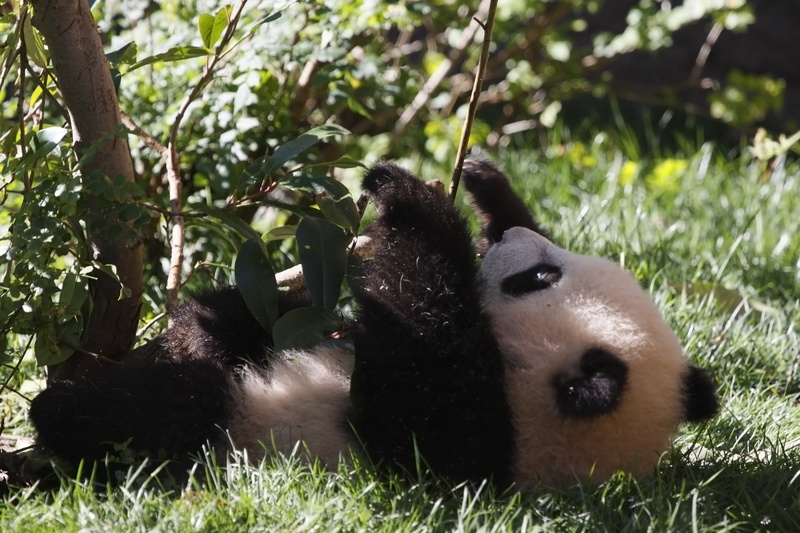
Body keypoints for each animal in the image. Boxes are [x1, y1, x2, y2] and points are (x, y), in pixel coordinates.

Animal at [29, 160, 719, 487]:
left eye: (540, 278)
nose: (515, 241)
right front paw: (491, 191)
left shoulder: (461, 444)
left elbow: (411, 365)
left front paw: (411, 199)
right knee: (232, 328)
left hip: (229, 433)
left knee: (171, 407)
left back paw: (56, 409)